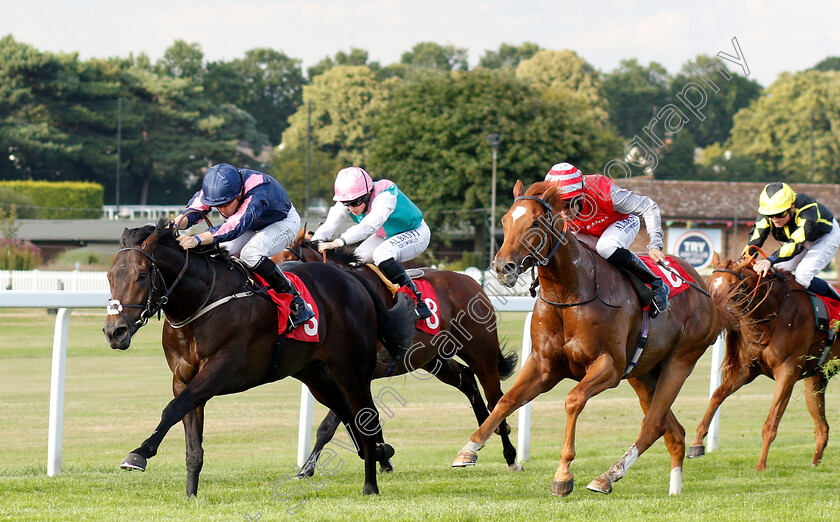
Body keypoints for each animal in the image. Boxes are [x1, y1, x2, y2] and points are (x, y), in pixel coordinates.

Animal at [103, 217, 418, 494]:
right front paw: (191, 495)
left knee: (367, 418)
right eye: (110, 275)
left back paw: (370, 485)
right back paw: (377, 454)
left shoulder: (219, 371)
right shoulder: (183, 379)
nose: (114, 331)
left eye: (142, 275)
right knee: (345, 412)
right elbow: (191, 440)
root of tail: (353, 279)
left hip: (352, 369)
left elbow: (171, 409)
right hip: (315, 374)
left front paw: (139, 453)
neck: (201, 302)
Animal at [276, 230, 520, 474]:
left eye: (288, 258)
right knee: (468, 380)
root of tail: (472, 282)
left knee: (496, 398)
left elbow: (333, 424)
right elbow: (360, 418)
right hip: (433, 359)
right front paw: (382, 458)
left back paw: (510, 455)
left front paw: (308, 468)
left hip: (481, 353)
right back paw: (478, 440)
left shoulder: (354, 373)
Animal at [452, 180, 728, 496]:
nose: (502, 267)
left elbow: (573, 400)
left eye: (535, 222)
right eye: (504, 221)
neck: (568, 293)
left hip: (680, 361)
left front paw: (563, 475)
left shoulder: (608, 366)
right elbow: (504, 400)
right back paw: (670, 488)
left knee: (653, 424)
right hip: (643, 374)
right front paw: (469, 448)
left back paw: (608, 475)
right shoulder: (543, 365)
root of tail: (705, 291)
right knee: (671, 430)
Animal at [688, 252, 832, 468]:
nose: (717, 315)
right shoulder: (746, 370)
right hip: (816, 380)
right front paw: (696, 443)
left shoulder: (787, 372)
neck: (775, 313)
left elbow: (771, 422)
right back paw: (815, 464)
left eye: (734, 287)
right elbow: (717, 395)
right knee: (822, 428)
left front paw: (761, 465)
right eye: (710, 284)